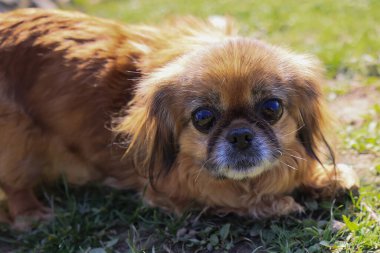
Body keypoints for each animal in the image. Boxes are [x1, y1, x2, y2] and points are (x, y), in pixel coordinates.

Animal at [0, 8, 360, 228]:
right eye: (203, 117)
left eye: (272, 109)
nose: (240, 134)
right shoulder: (174, 188)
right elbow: (235, 197)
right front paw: (281, 202)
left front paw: (327, 177)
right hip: (17, 138)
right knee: (15, 186)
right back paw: (32, 214)